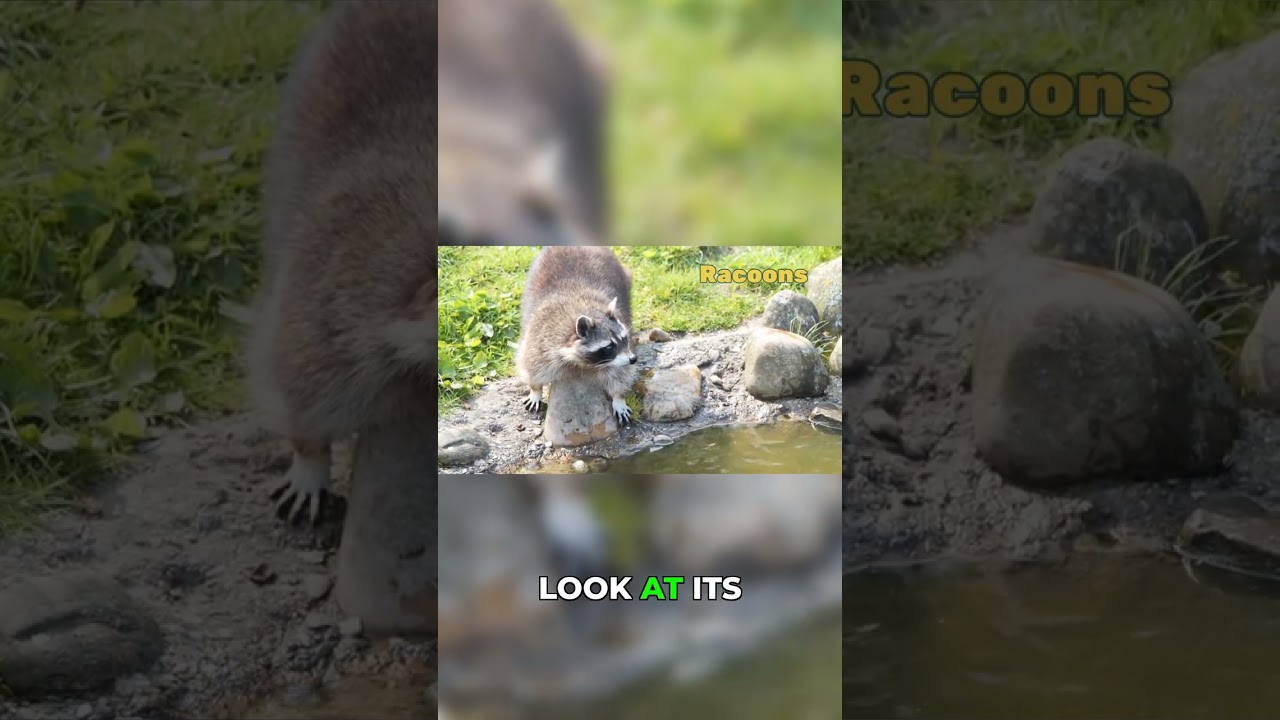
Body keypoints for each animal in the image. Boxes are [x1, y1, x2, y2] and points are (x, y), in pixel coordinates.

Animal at [515, 247, 639, 425]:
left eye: (624, 339)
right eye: (609, 346)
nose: (633, 359)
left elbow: (620, 373)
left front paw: (619, 397)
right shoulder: (540, 340)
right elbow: (532, 365)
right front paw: (535, 389)